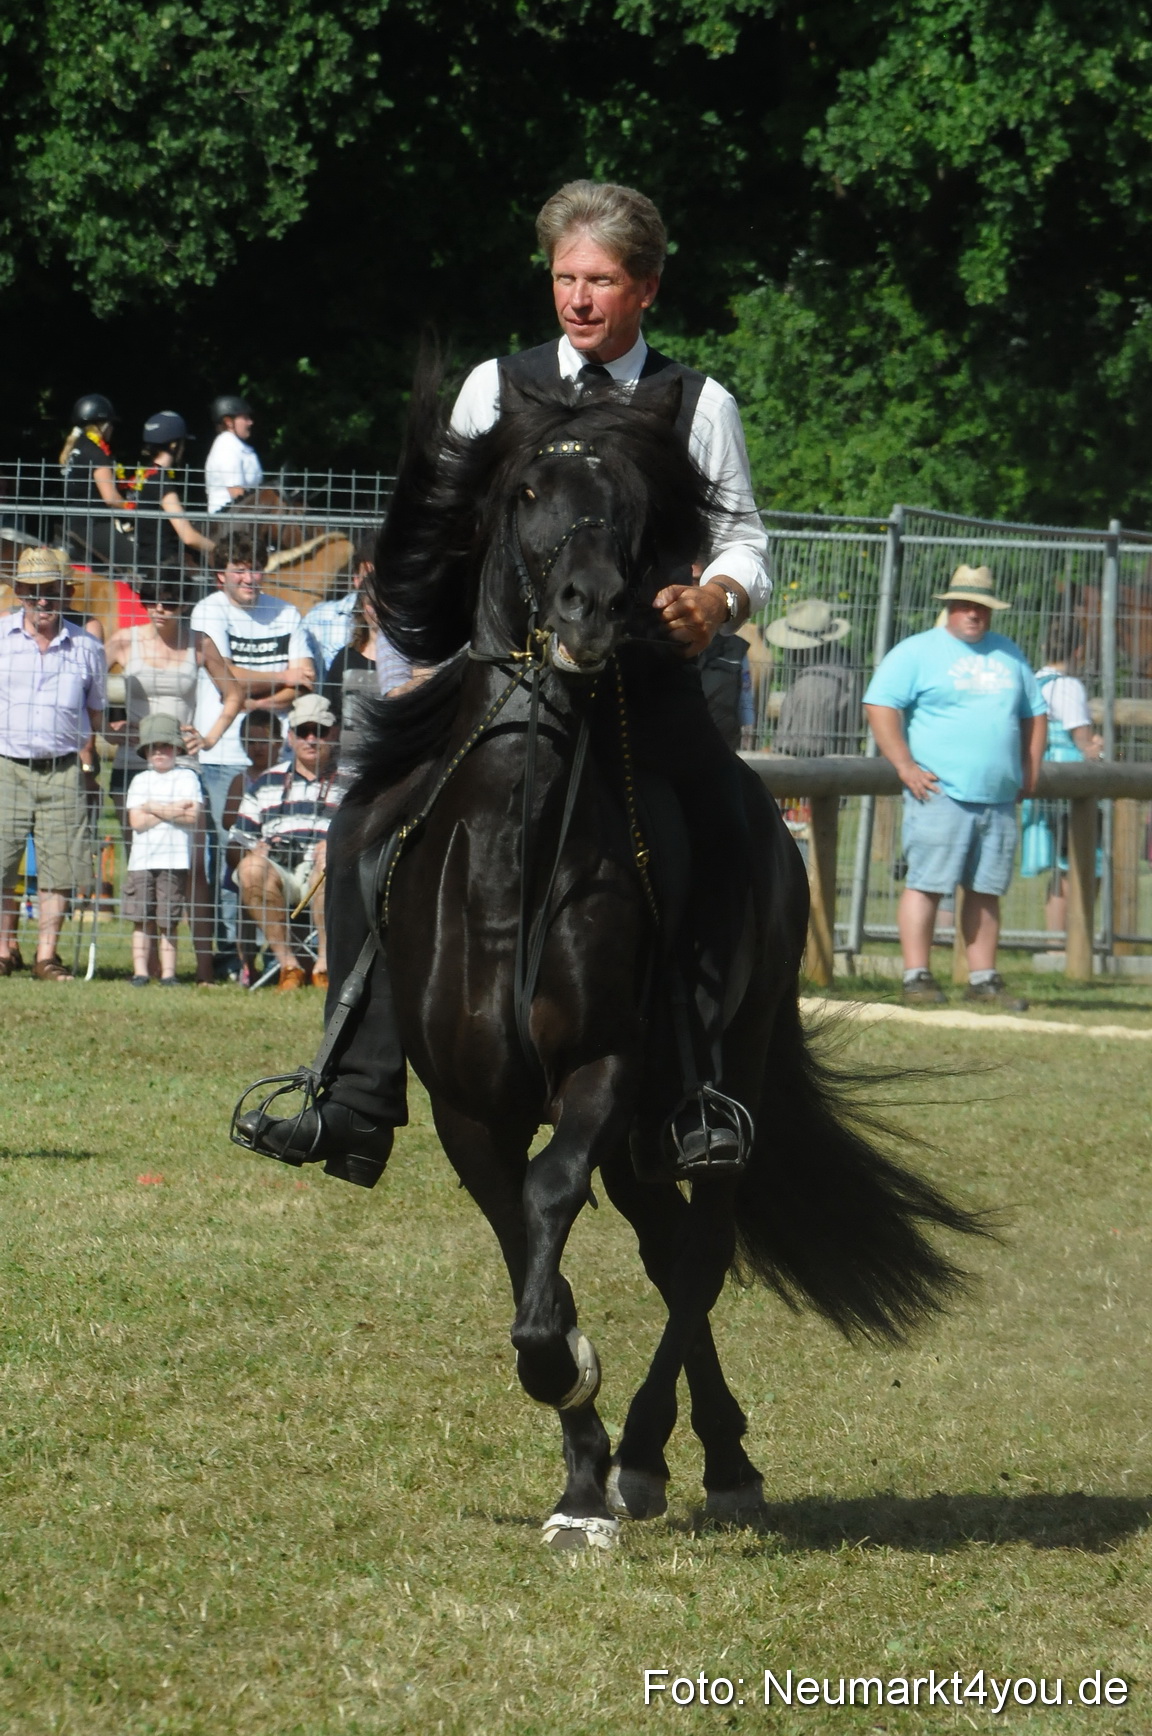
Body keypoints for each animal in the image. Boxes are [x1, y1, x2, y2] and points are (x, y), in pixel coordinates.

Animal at [339, 371, 985, 1549]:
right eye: (527, 488)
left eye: (634, 505)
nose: (591, 608)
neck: (516, 858)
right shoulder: (468, 1110)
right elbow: (524, 1239)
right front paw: (574, 1456)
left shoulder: (605, 1071)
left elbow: (551, 1198)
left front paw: (579, 1423)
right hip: (643, 1138)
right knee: (666, 1242)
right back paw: (684, 1453)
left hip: (720, 1081)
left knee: (702, 1249)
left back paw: (676, 1458)